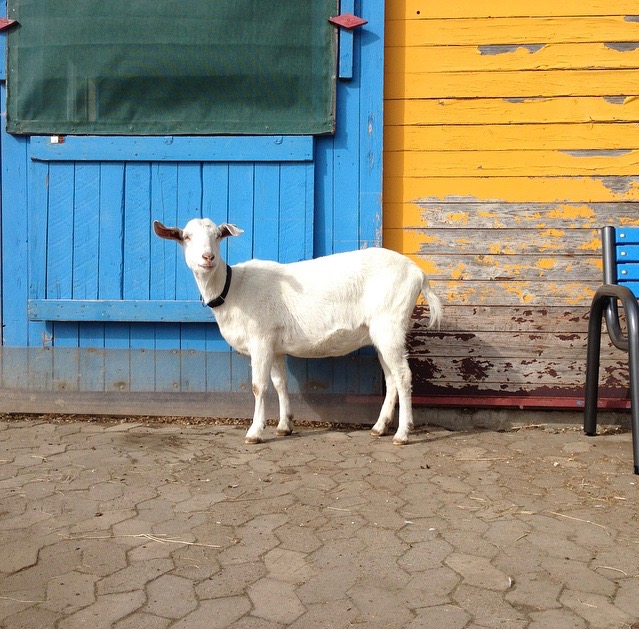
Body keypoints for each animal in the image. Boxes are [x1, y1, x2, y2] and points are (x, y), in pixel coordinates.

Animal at [156, 218, 440, 444]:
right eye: (186, 237)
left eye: (217, 235)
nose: (208, 258)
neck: (233, 288)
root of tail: (418, 273)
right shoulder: (274, 346)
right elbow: (280, 383)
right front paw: (284, 426)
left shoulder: (260, 339)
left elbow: (259, 386)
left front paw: (254, 432)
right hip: (380, 332)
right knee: (391, 378)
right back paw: (380, 427)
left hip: (390, 323)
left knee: (403, 376)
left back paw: (402, 434)